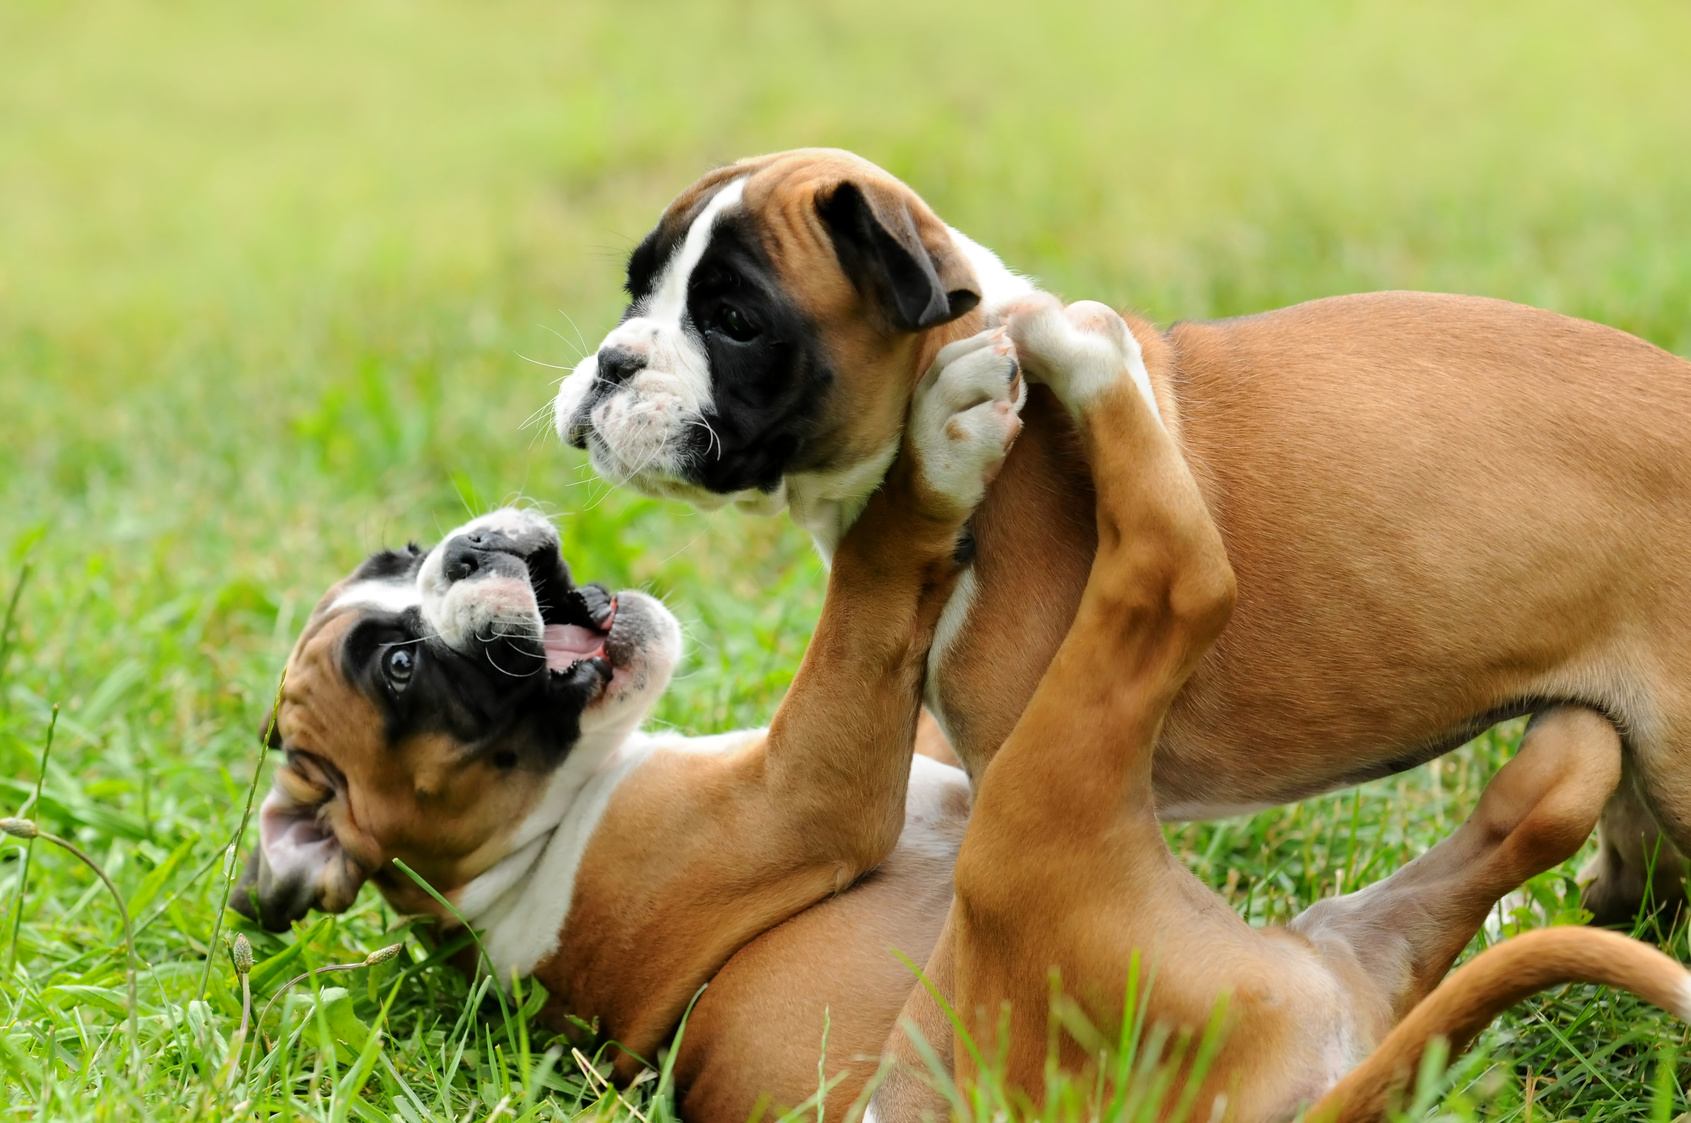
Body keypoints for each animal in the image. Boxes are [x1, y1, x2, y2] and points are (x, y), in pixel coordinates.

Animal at [231, 341, 1021, 1123]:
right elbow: (866, 593)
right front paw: (937, 453)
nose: (468, 550)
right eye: (399, 667)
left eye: (405, 553)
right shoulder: (803, 791)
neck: (520, 853)